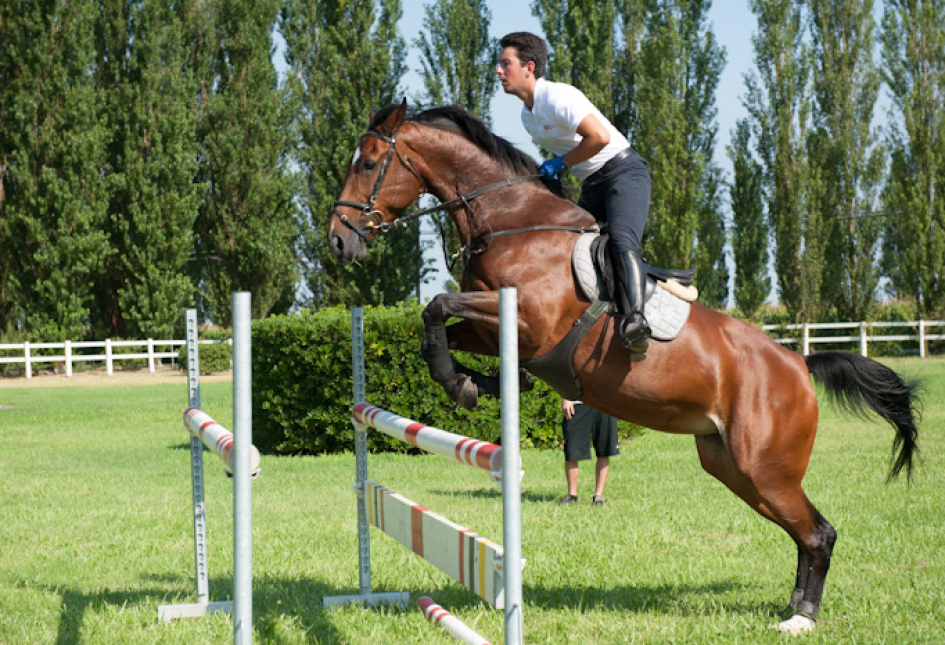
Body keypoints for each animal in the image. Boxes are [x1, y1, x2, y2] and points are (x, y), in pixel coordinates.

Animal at [328, 100, 920, 632]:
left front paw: (462, 384)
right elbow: (441, 326)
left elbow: (438, 304)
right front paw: (474, 383)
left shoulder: (527, 320)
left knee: (818, 532)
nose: (337, 240)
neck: (511, 224)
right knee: (804, 532)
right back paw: (794, 605)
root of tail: (799, 362)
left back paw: (801, 618)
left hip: (765, 467)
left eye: (368, 163)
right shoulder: (494, 328)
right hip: (731, 465)